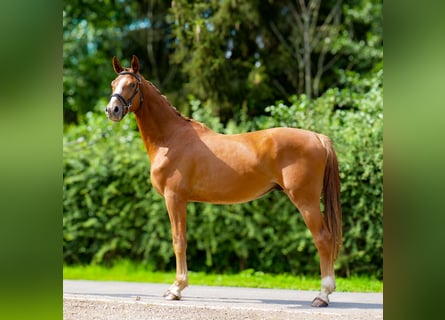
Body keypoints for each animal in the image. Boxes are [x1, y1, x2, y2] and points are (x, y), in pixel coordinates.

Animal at [106, 55, 342, 308]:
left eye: (132, 85)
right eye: (113, 84)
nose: (112, 110)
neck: (171, 138)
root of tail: (318, 137)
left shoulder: (175, 198)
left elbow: (179, 241)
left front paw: (176, 289)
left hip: (306, 201)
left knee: (323, 239)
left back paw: (322, 295)